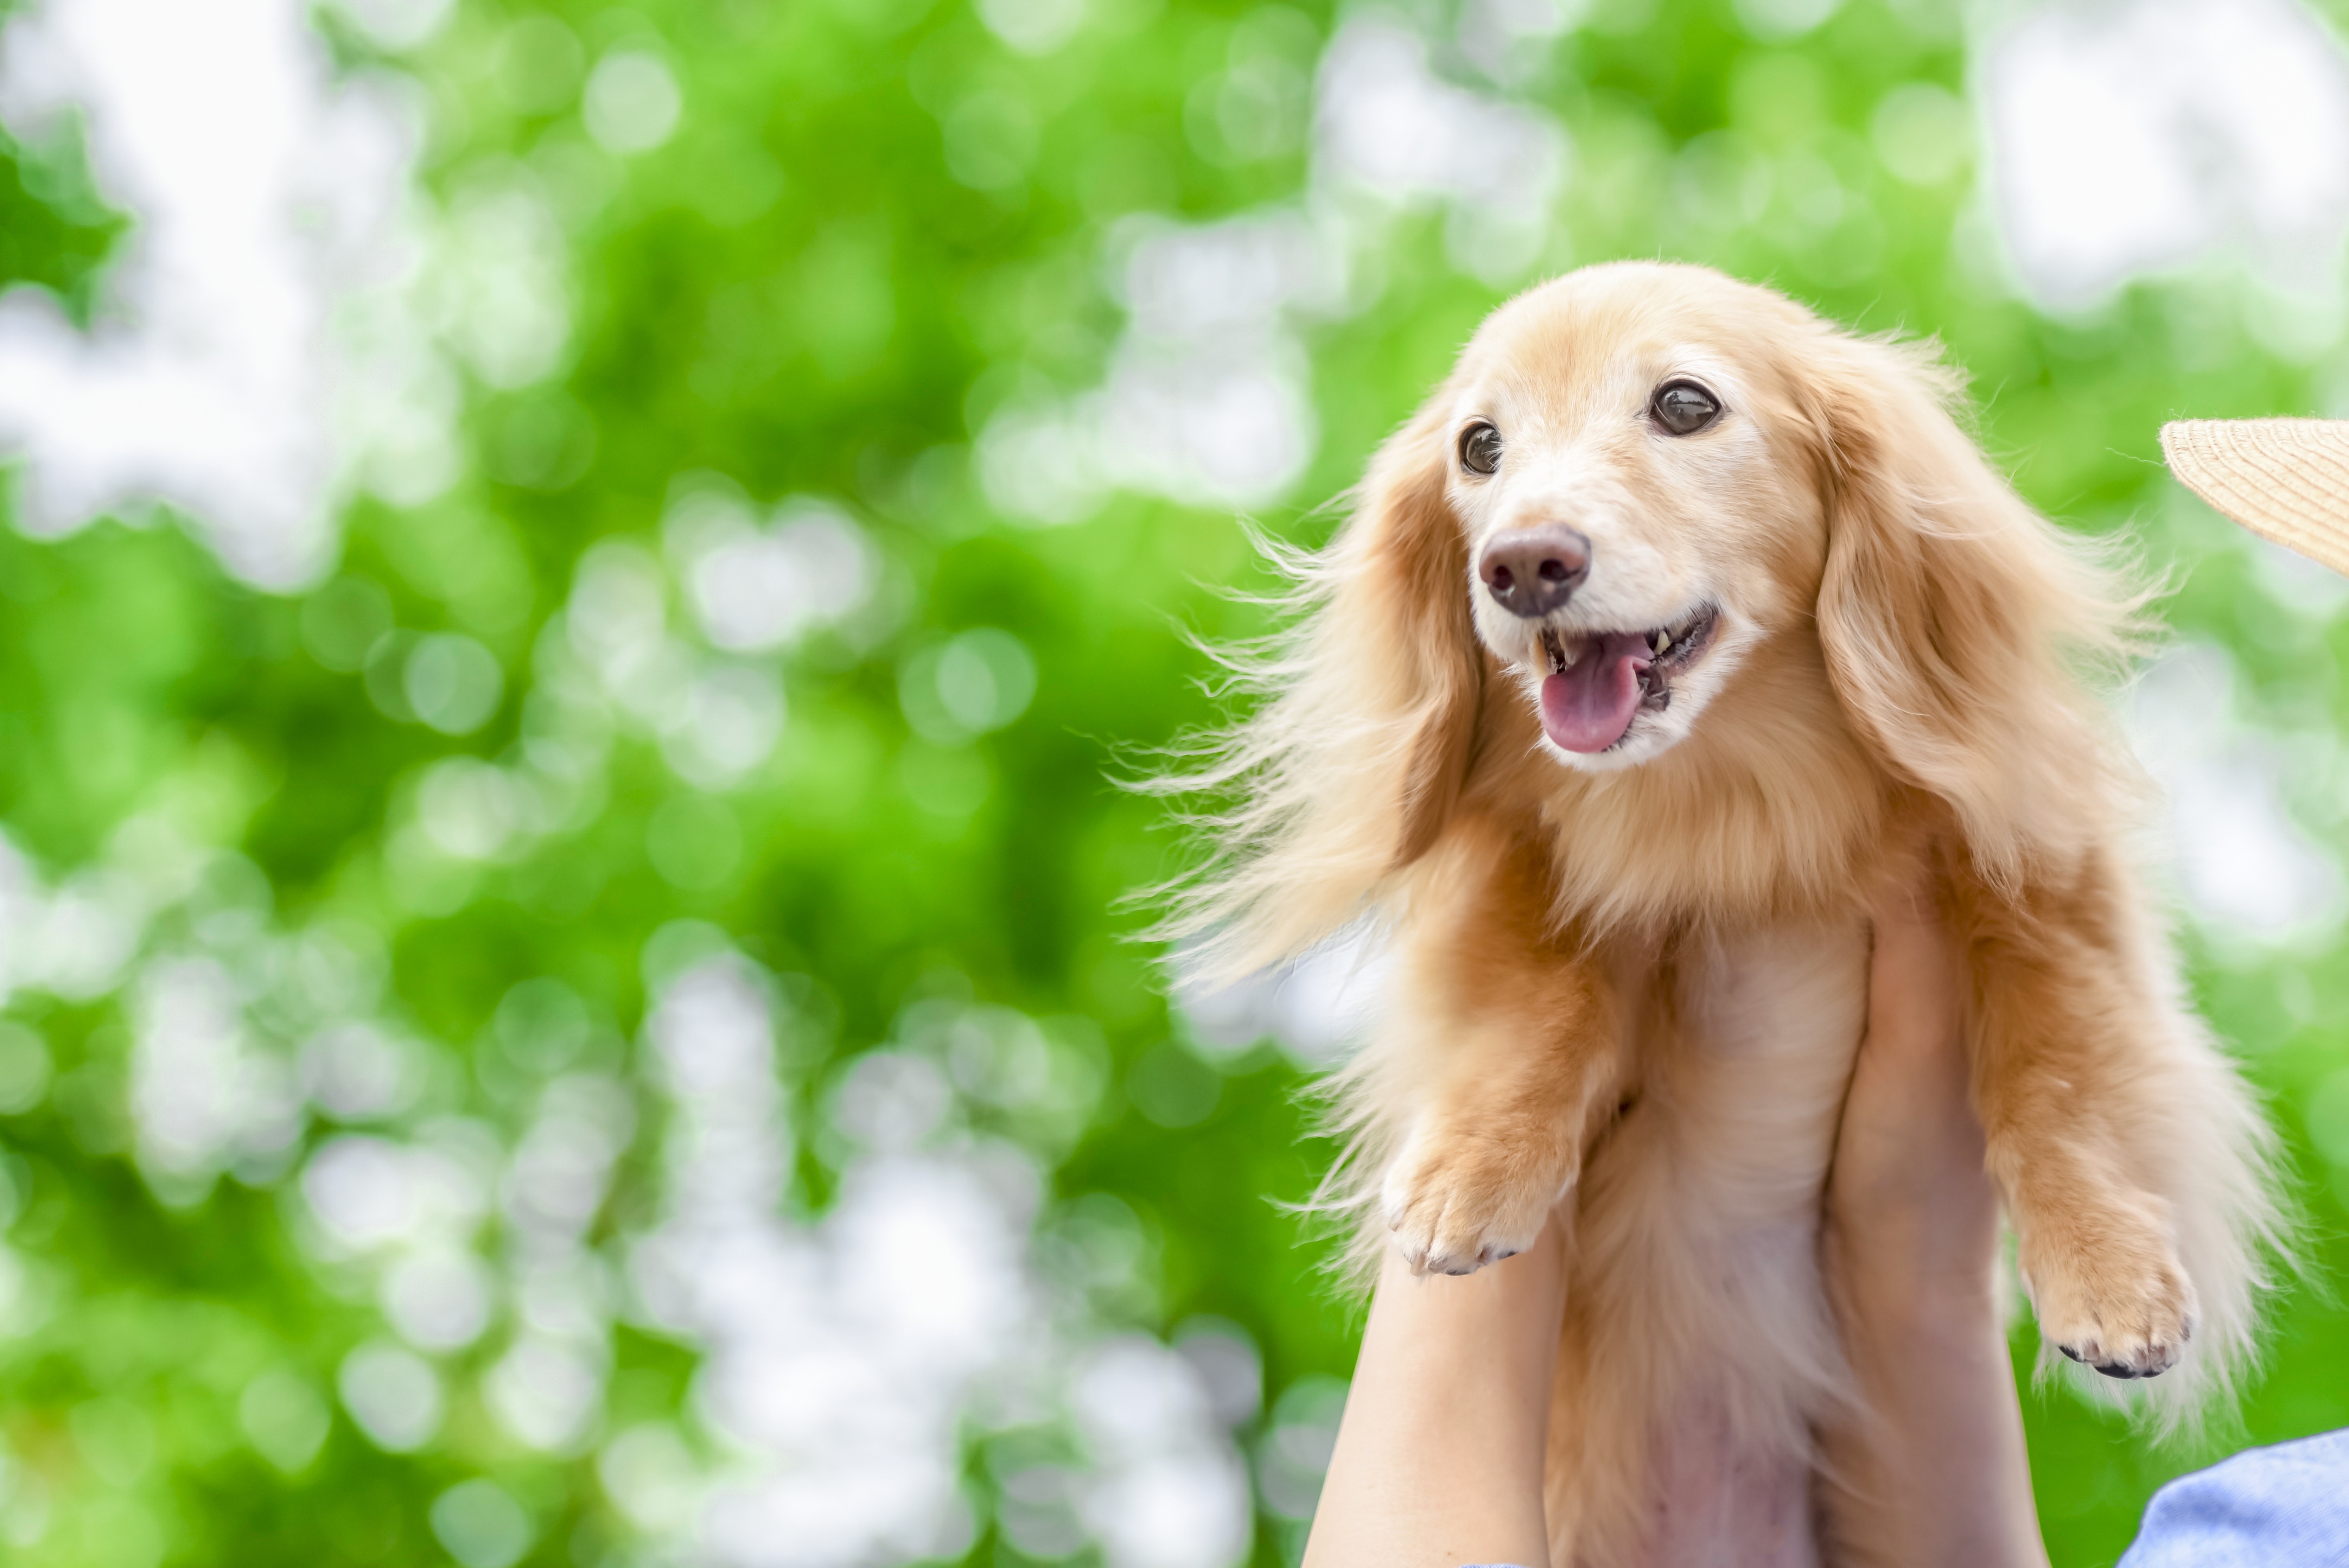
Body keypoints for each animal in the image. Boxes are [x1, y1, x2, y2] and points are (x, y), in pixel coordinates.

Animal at [1165, 267, 2283, 1568]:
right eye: (1479, 447)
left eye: (1684, 404)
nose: (1520, 565)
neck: (1726, 805)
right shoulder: (1511, 863)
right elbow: (1537, 992)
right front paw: (1472, 1169)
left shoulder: (2042, 877)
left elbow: (2055, 1072)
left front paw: (2108, 1273)